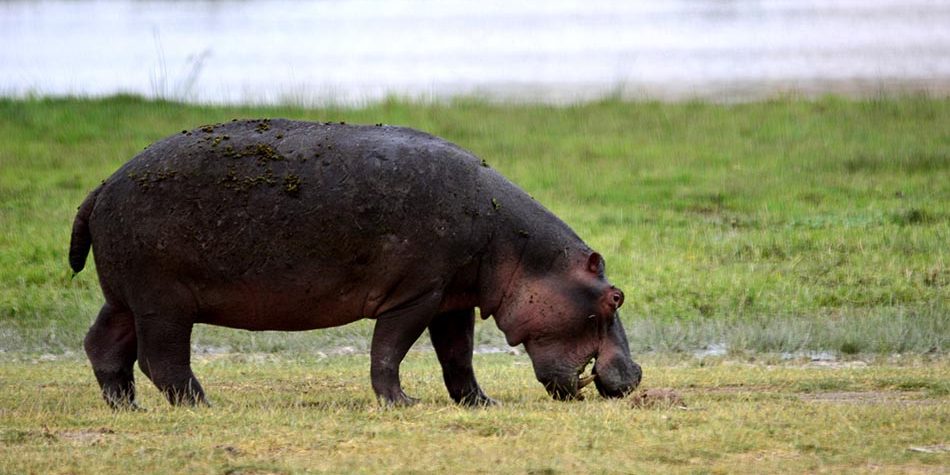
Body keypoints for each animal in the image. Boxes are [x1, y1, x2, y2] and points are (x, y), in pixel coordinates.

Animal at [70, 119, 642, 408]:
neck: (519, 249)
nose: (635, 376)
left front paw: (482, 404)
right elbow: (389, 350)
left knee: (104, 345)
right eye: (615, 297)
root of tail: (103, 183)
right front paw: (401, 404)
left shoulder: (452, 298)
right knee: (161, 359)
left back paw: (126, 407)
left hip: (124, 296)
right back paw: (203, 405)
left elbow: (458, 357)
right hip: (163, 301)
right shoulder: (417, 294)